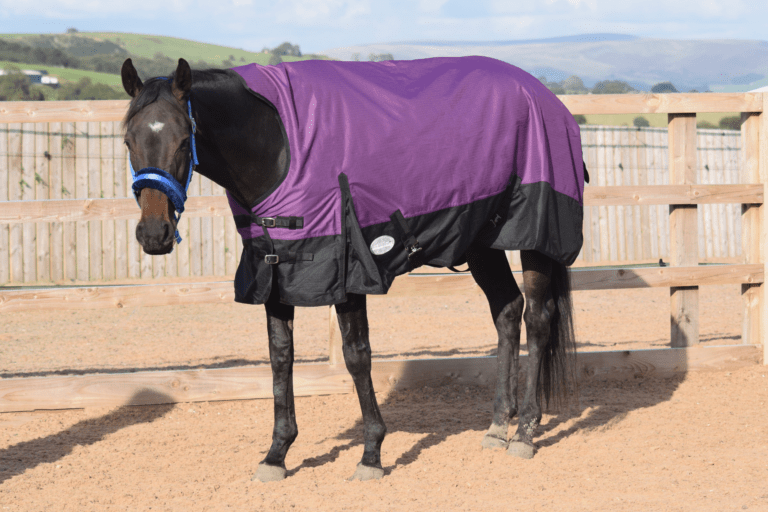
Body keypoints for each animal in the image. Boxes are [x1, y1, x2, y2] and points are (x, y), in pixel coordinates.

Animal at [120, 56, 584, 482]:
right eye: (127, 140)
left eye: (185, 139)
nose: (154, 234)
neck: (281, 145)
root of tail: (545, 97)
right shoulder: (275, 270)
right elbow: (280, 357)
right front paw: (277, 454)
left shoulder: (347, 274)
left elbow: (356, 356)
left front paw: (371, 455)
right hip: (482, 241)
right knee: (506, 312)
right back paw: (496, 426)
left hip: (537, 234)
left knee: (537, 319)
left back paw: (524, 433)